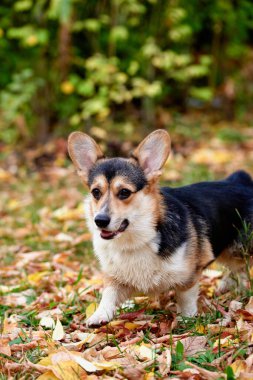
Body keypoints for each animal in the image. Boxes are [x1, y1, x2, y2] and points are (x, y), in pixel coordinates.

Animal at [68, 129, 253, 326]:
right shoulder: (115, 277)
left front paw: (186, 318)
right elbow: (108, 294)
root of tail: (241, 181)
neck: (136, 241)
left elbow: (185, 297)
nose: (100, 220)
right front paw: (99, 315)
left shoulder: (189, 274)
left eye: (124, 192)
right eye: (96, 192)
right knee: (238, 267)